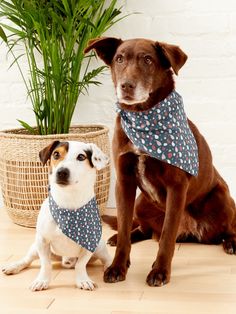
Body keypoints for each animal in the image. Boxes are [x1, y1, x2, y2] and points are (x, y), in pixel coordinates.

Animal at [2, 141, 111, 290]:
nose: (62, 172)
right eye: (56, 154)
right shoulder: (42, 241)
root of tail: (67, 260)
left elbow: (81, 264)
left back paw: (112, 269)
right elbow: (46, 264)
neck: (68, 201)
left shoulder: (90, 243)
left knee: (107, 259)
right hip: (35, 247)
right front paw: (42, 280)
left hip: (100, 247)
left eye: (81, 157)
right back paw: (14, 266)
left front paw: (83, 280)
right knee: (27, 260)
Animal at [85, 37, 236, 288]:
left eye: (148, 60)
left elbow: (167, 236)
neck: (143, 116)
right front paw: (117, 265)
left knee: (229, 227)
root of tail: (194, 233)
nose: (126, 85)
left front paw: (160, 271)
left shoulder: (177, 187)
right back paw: (121, 236)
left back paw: (231, 242)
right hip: (141, 203)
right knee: (142, 228)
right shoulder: (124, 182)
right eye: (119, 59)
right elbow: (125, 226)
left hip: (221, 197)